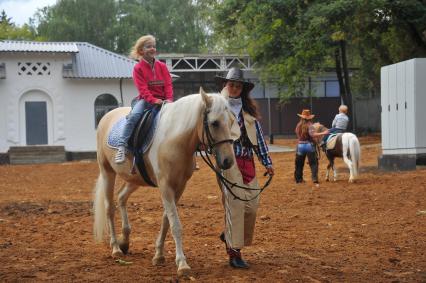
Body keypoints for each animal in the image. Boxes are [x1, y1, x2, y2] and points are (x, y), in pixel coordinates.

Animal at [93, 89, 236, 278]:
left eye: (232, 121)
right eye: (215, 123)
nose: (228, 161)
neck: (174, 139)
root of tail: (107, 116)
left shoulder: (179, 187)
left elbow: (166, 220)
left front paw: (159, 255)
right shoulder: (165, 186)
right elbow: (175, 225)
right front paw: (182, 264)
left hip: (135, 179)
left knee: (121, 197)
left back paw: (125, 241)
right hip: (107, 172)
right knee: (109, 207)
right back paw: (116, 248)